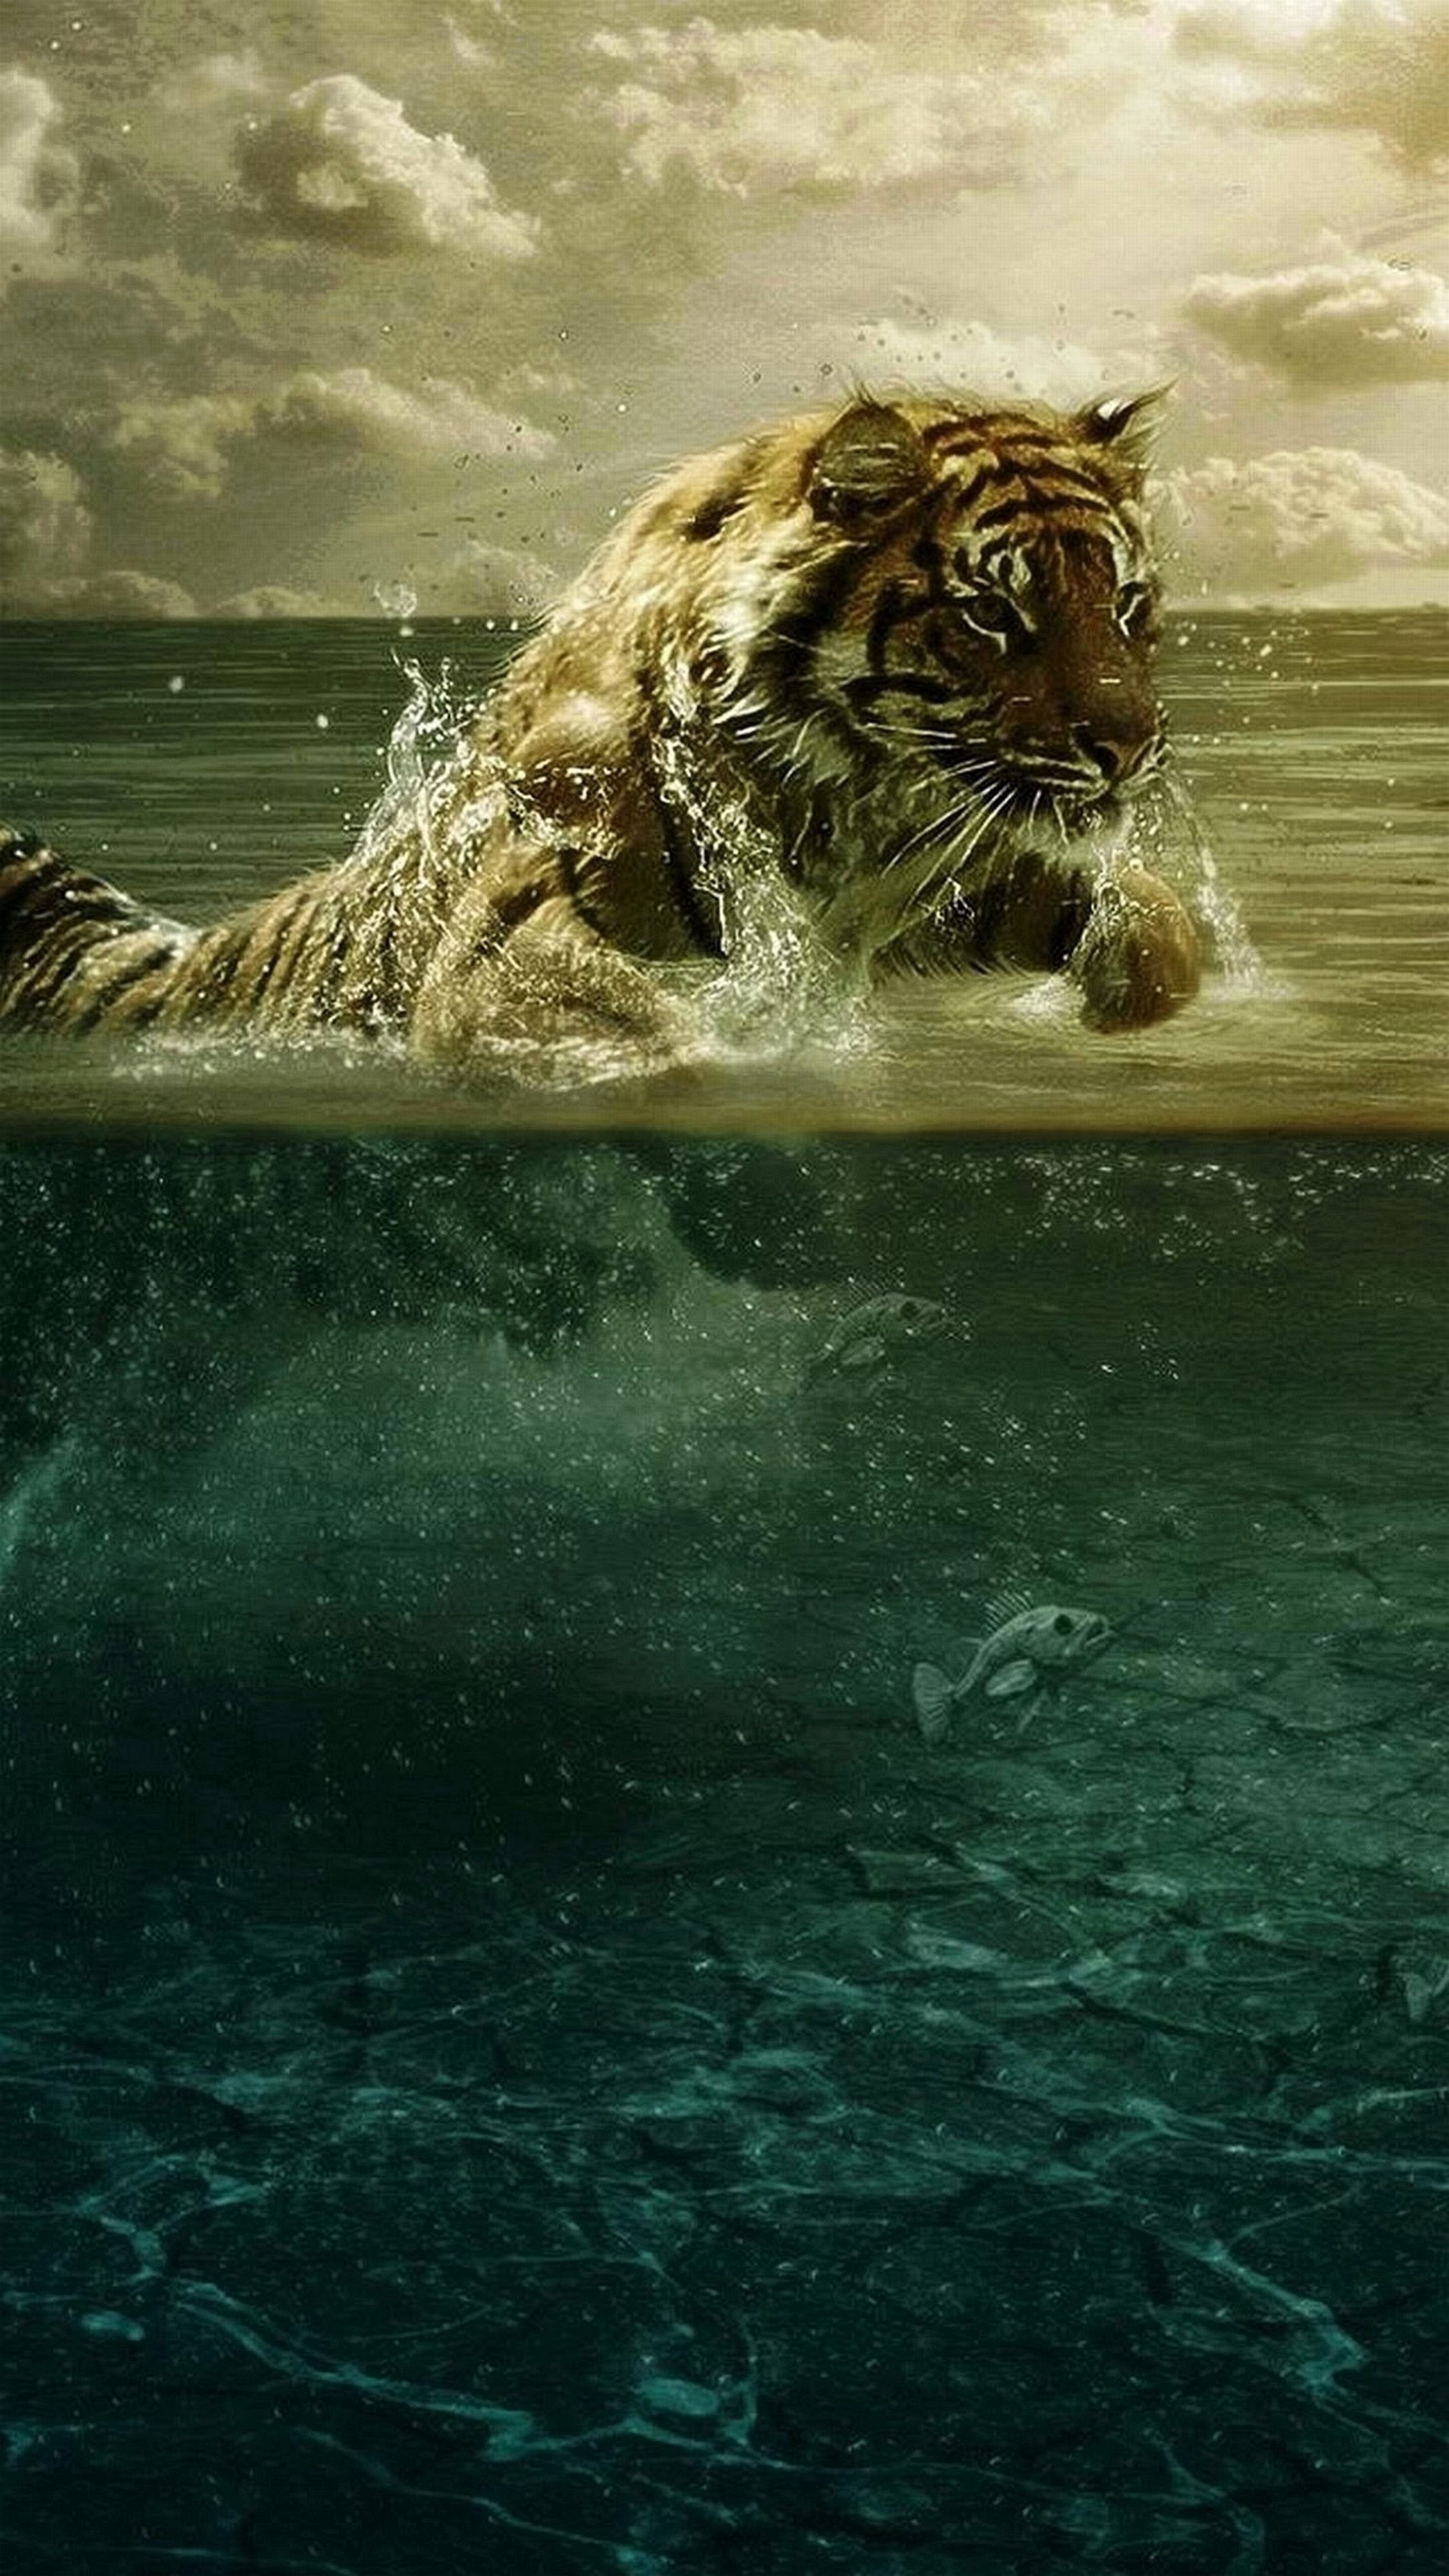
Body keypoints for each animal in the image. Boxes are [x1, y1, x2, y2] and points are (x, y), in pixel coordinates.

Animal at [0, 390, 1199, 1077]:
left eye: (1127, 602)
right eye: (992, 613)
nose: (1129, 747)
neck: (846, 795)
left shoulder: (930, 889)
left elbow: (1158, 924)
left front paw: (1121, 1003)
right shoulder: (510, 933)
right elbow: (641, 1035)